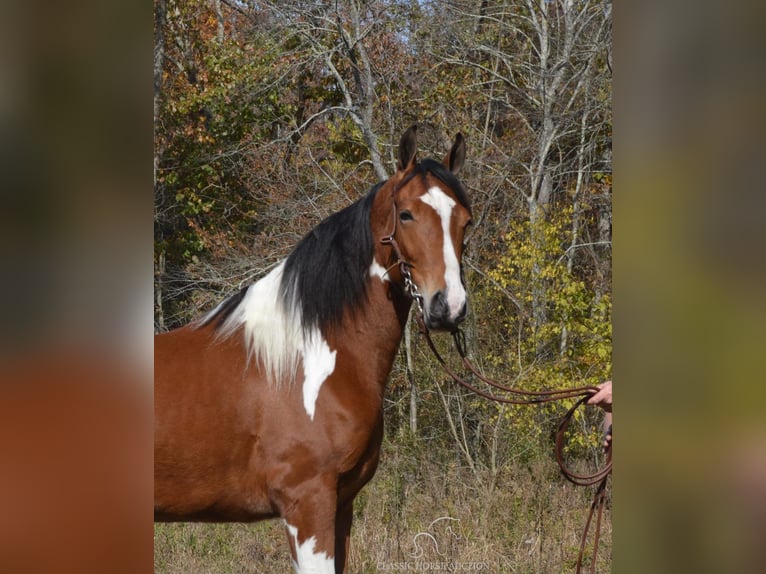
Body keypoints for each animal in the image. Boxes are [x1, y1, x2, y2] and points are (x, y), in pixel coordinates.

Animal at [154, 127, 472, 574]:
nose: (449, 306)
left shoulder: (341, 505)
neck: (307, 360)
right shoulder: (308, 504)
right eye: (407, 214)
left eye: (465, 220)